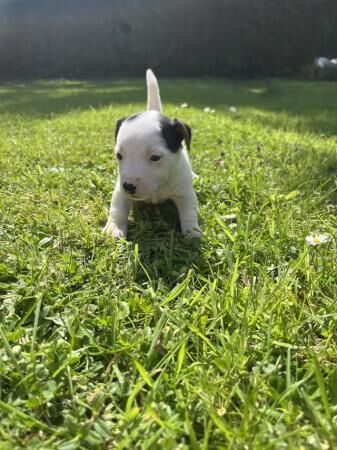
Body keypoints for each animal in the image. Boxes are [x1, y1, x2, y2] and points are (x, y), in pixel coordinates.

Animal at [102, 68, 201, 239]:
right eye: (119, 156)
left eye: (155, 157)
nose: (128, 186)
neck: (158, 188)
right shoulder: (119, 190)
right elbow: (117, 206)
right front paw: (113, 227)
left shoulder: (185, 192)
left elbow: (189, 210)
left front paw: (192, 233)